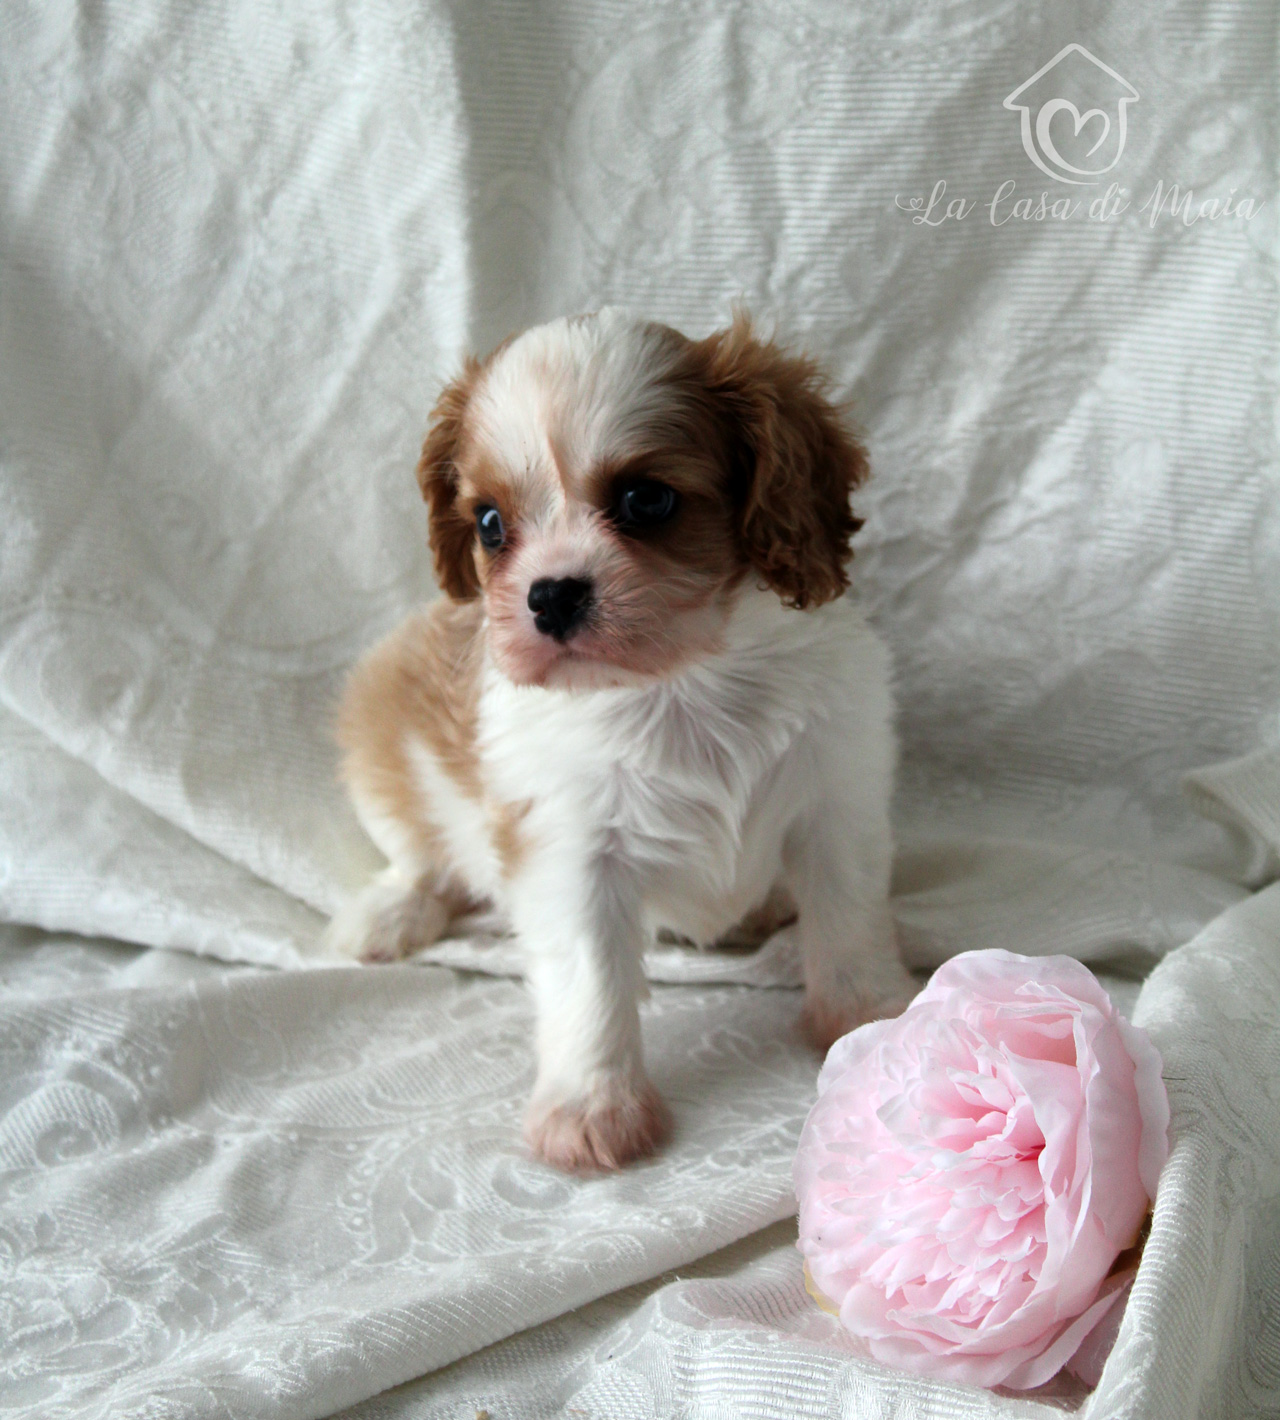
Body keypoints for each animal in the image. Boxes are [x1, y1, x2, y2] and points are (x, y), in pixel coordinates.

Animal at [326, 309, 915, 1172]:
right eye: (490, 525)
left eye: (645, 499)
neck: (680, 683)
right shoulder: (569, 850)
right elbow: (589, 982)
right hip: (379, 727)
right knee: (418, 857)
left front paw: (875, 1019)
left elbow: (850, 922)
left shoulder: (838, 798)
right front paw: (591, 1105)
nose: (549, 595)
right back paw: (390, 914)